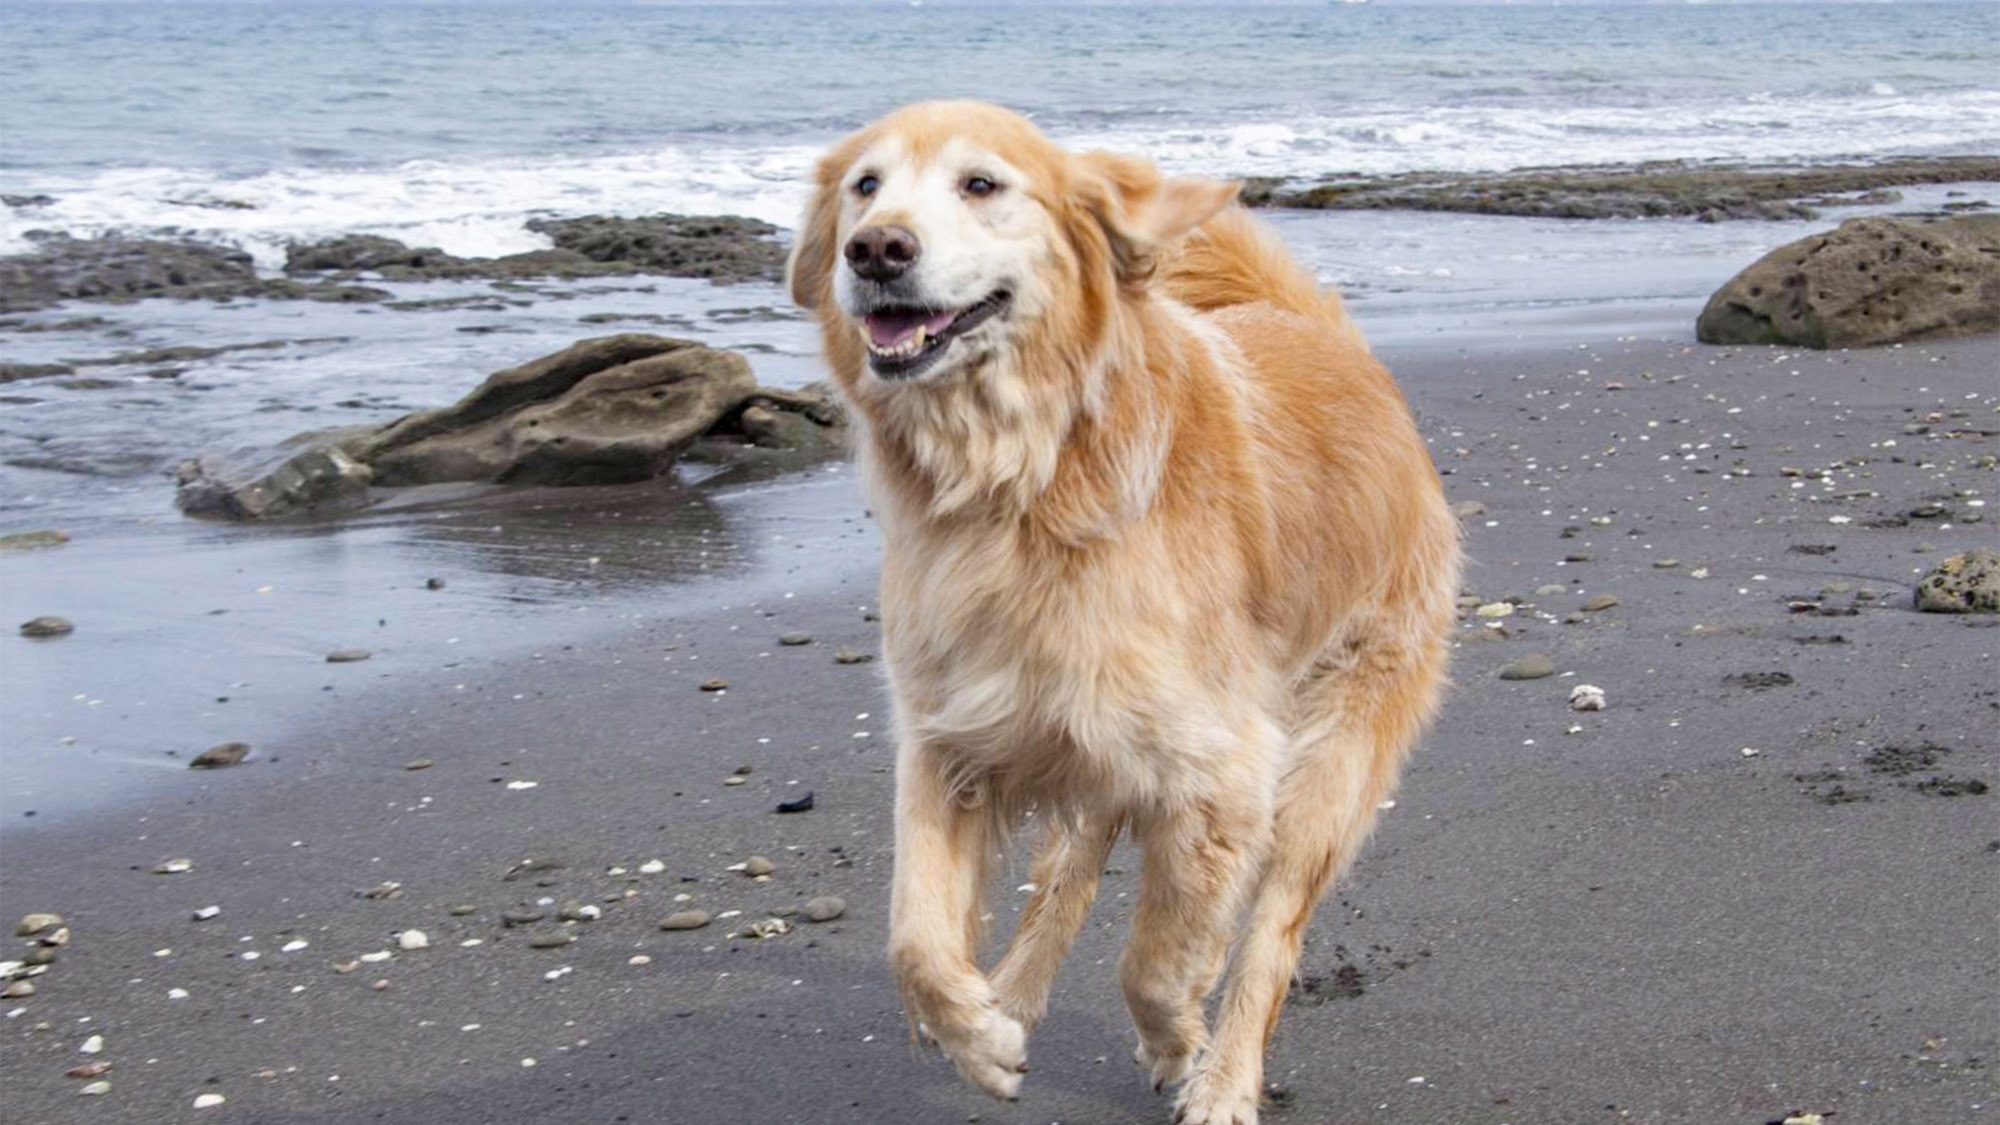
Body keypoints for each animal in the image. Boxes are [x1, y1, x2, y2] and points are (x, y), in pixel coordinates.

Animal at [788, 100, 1464, 1112]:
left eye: (980, 184)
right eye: (866, 186)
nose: (876, 249)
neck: (1022, 481)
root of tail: (1328, 337)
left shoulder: (1221, 775)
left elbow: (1153, 960)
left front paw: (1178, 1039)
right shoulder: (950, 736)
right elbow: (914, 934)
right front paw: (978, 1038)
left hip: (1330, 756)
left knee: (1270, 935)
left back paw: (1225, 1080)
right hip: (1092, 744)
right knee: (1062, 884)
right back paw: (1010, 997)